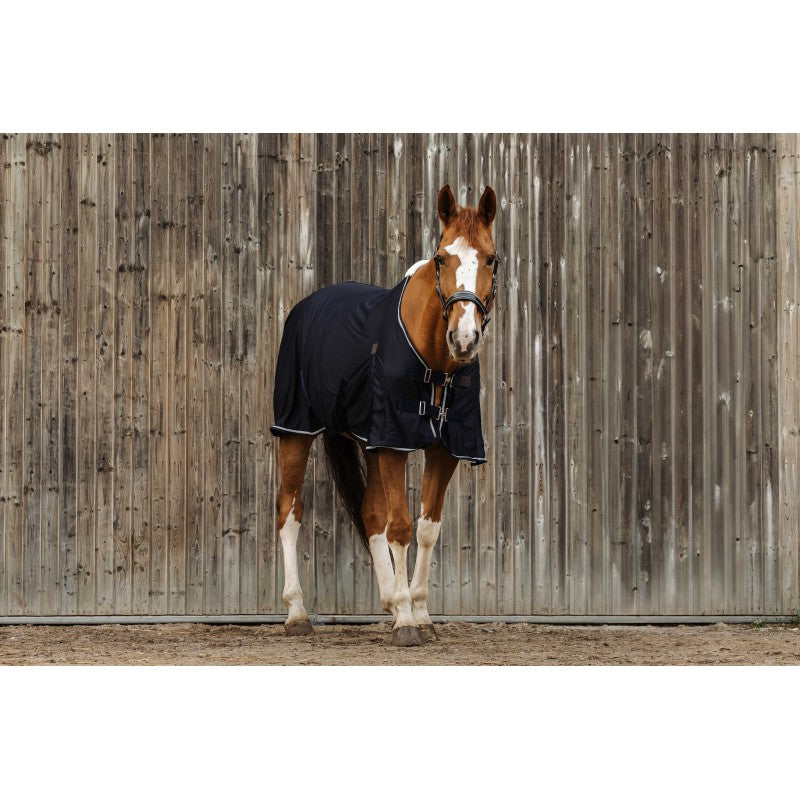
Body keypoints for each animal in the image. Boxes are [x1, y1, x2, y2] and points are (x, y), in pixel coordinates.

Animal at [271, 184, 498, 646]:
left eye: (491, 258)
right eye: (441, 258)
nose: (464, 339)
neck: (435, 363)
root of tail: (307, 305)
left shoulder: (441, 449)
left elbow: (426, 528)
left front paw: (419, 613)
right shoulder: (394, 443)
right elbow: (401, 526)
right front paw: (408, 622)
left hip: (366, 441)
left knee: (370, 514)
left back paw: (391, 602)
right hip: (296, 430)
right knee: (289, 510)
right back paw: (297, 613)